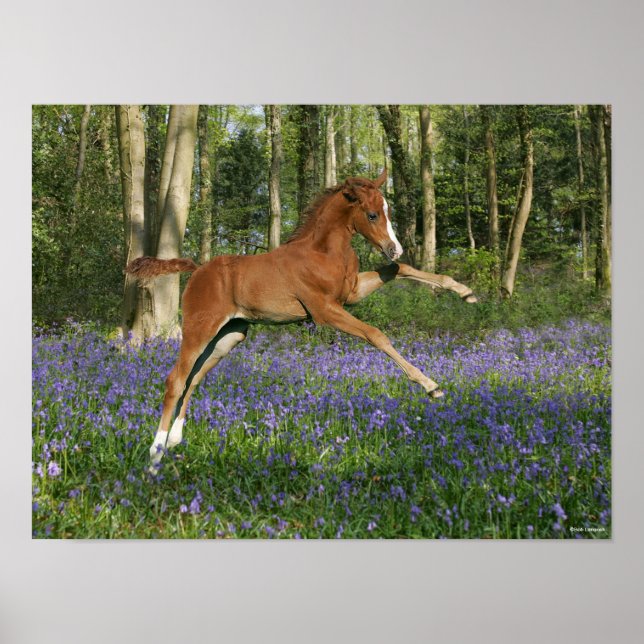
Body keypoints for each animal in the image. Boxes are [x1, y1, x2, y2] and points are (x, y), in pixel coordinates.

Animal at [126, 170, 477, 473]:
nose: (394, 248)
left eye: (387, 210)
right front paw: (431, 386)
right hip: (199, 330)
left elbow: (400, 270)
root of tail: (198, 269)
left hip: (228, 337)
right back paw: (155, 456)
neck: (323, 253)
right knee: (175, 380)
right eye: (372, 215)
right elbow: (375, 334)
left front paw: (465, 292)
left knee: (194, 379)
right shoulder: (325, 310)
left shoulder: (351, 293)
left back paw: (175, 440)